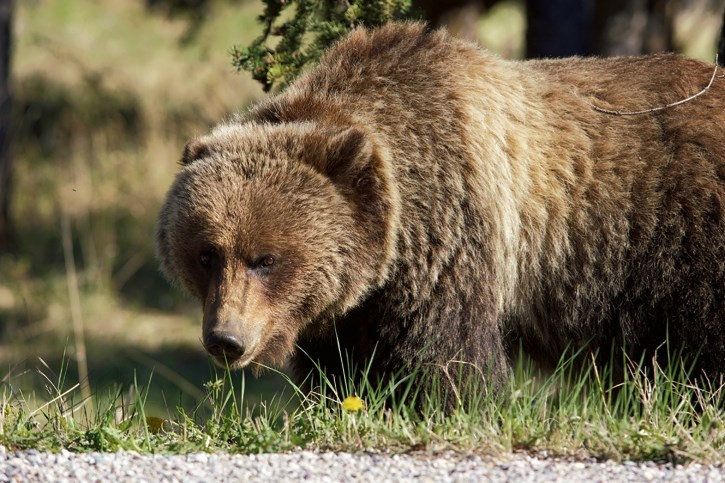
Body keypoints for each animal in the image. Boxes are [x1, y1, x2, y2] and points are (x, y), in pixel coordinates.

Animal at [156, 22, 724, 392]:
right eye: (206, 254)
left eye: (266, 258)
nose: (226, 339)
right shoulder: (354, 306)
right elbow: (343, 369)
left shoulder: (453, 239)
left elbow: (448, 358)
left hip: (677, 237)